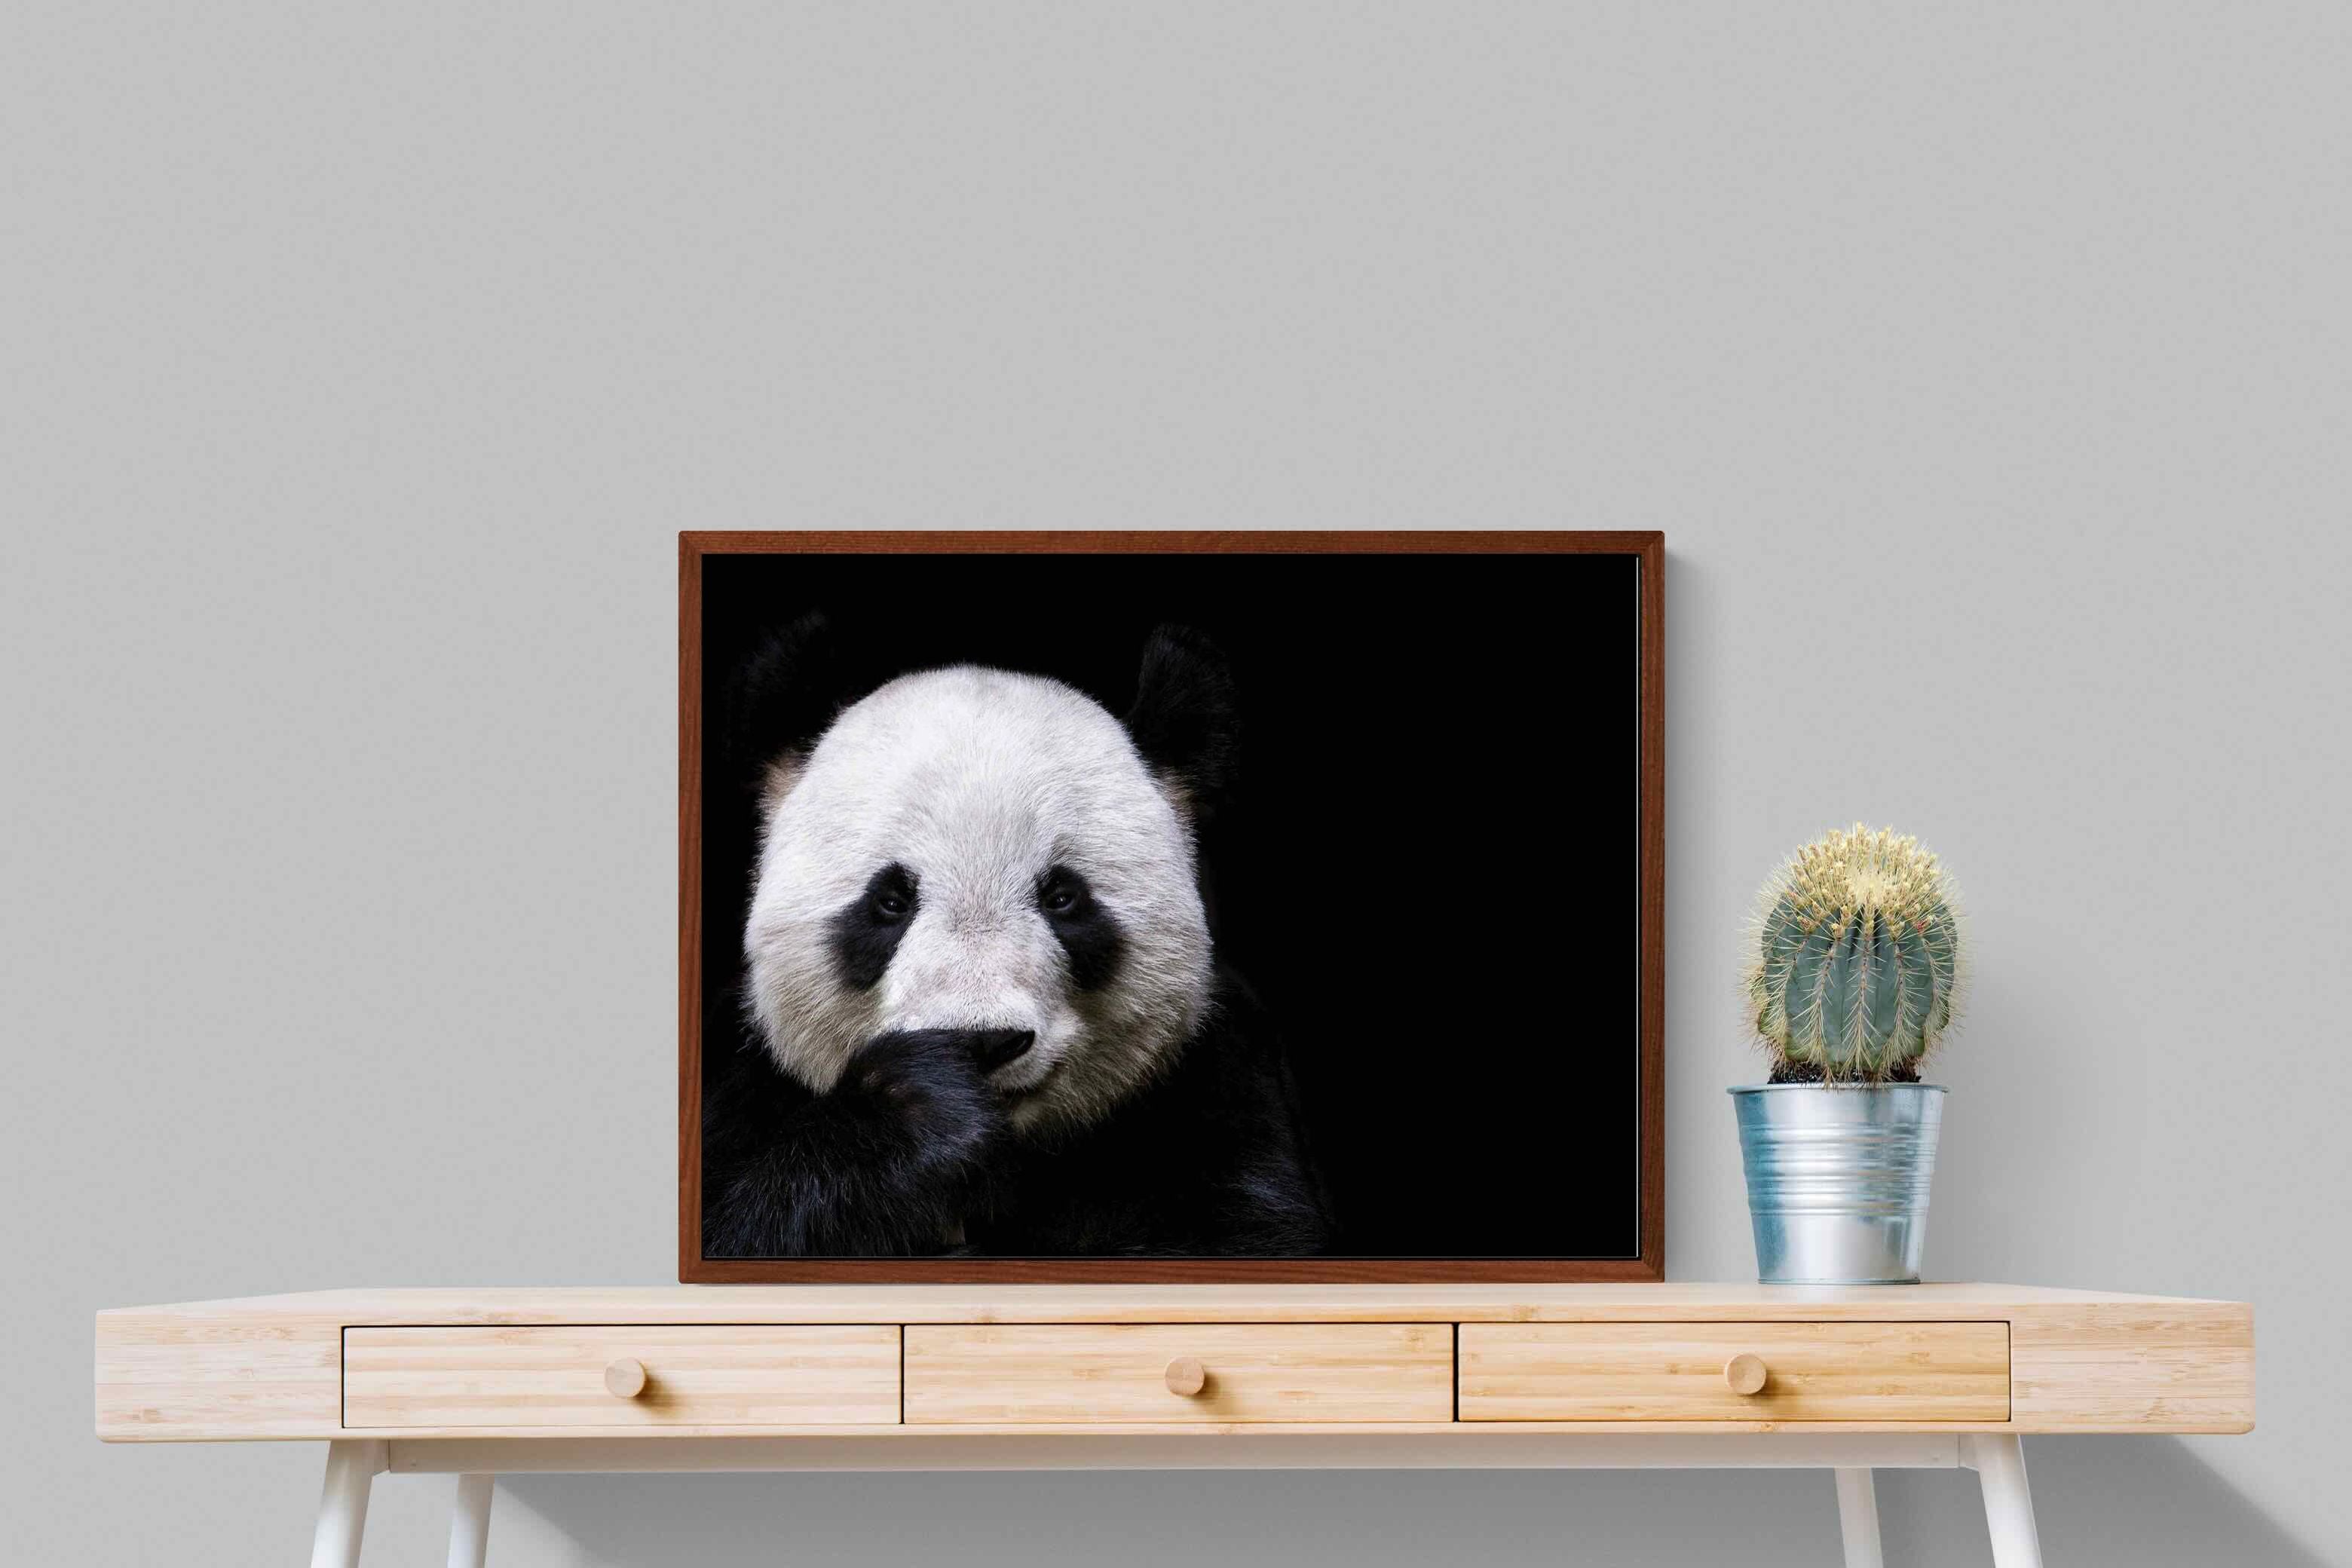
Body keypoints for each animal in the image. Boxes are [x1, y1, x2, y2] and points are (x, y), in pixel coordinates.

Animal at [700, 618, 1331, 1258]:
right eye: (890, 902)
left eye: (1062, 897)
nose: (983, 1042)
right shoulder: (739, 1081)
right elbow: (743, 1222)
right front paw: (920, 1108)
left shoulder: (1217, 1083)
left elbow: (1239, 1233)